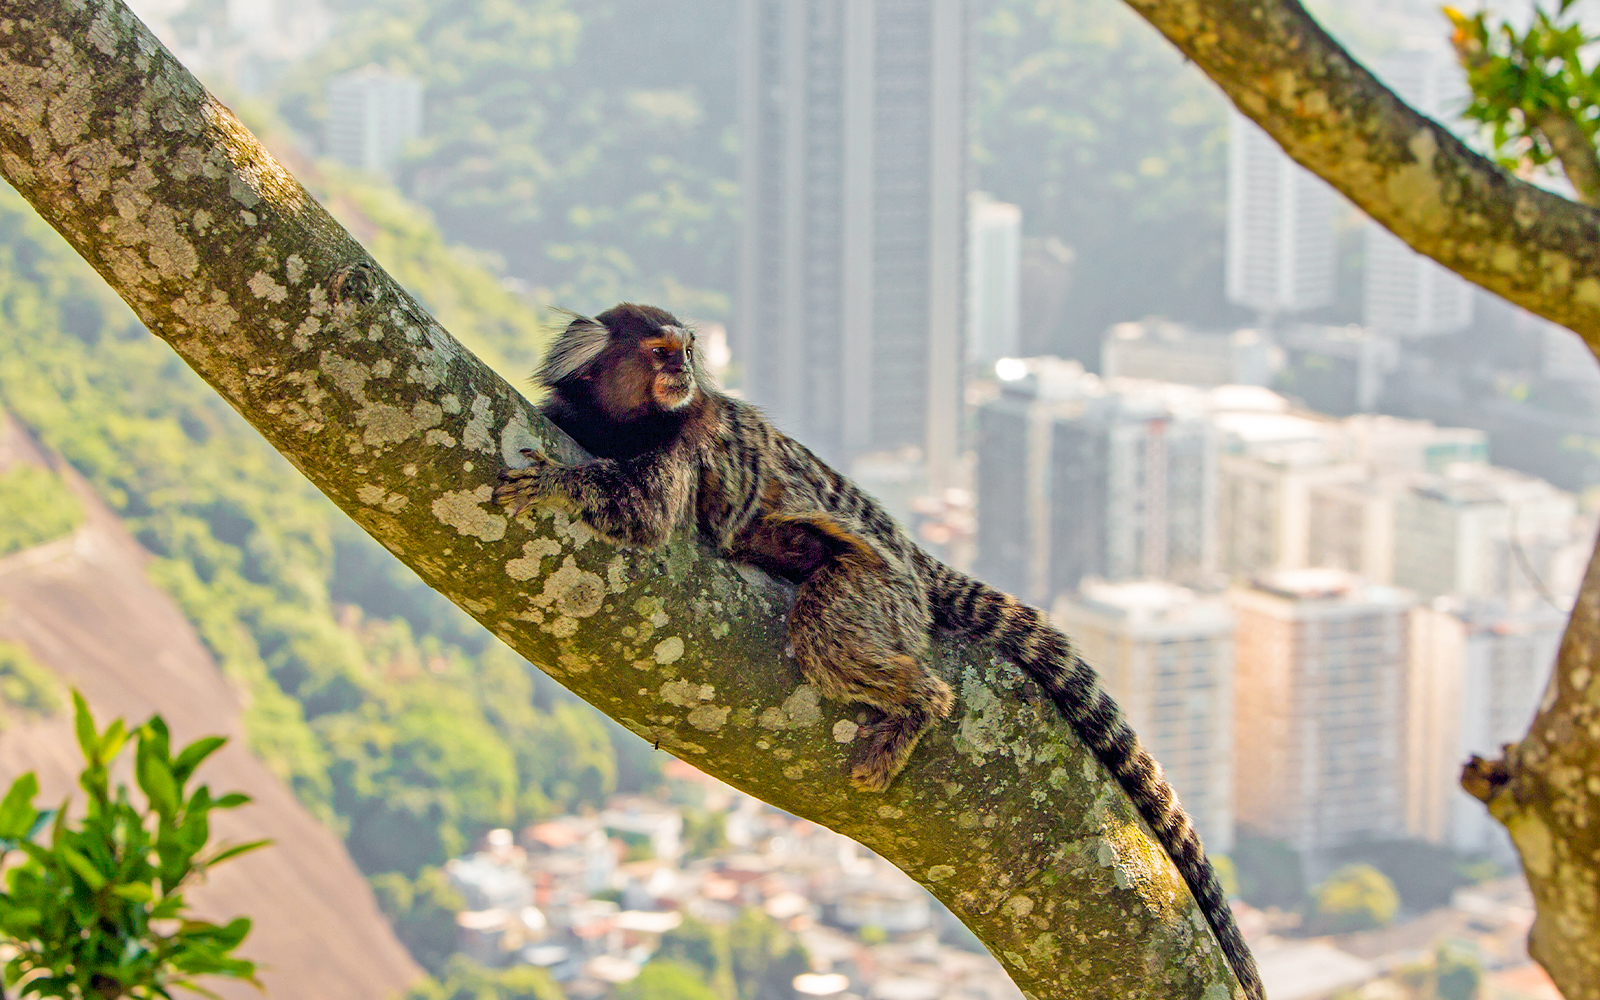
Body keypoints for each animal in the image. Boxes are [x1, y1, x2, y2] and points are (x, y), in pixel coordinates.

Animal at [494, 303, 1263, 1000]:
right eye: (660, 353)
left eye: (683, 351)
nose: (681, 371)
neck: (626, 423)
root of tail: (914, 560)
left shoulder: (690, 438)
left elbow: (647, 512)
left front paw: (562, 484)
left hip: (874, 585)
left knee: (829, 632)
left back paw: (914, 707)